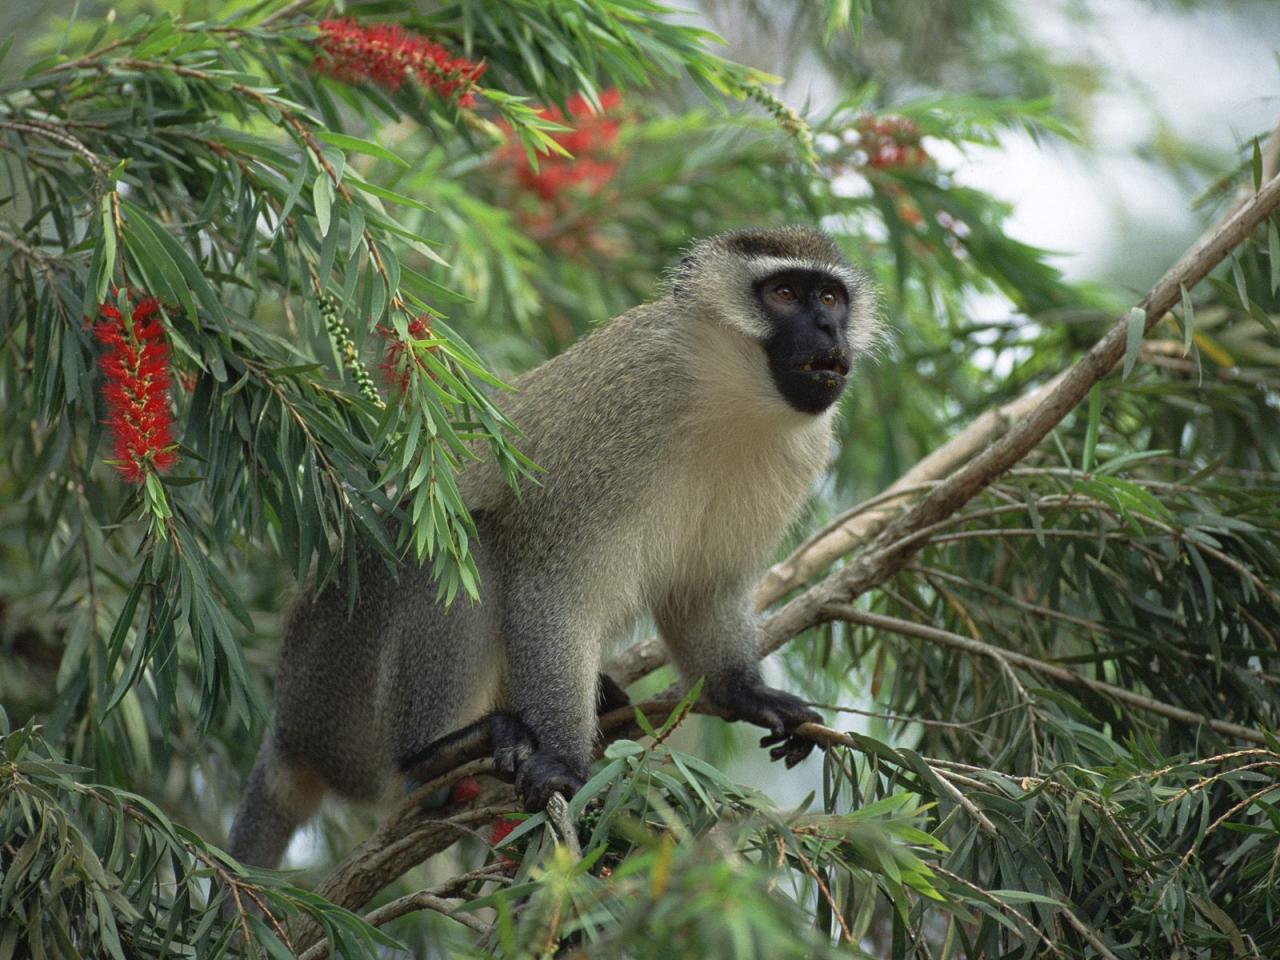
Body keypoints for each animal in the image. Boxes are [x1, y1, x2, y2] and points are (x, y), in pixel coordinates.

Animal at [225, 225, 875, 870]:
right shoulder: (623, 413)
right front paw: (563, 759)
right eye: (785, 293)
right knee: (464, 547)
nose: (828, 328)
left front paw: (745, 690)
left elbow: (701, 592)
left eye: (830, 298)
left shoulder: (799, 453)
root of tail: (288, 729)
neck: (729, 396)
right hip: (341, 697)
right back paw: (434, 758)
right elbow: (556, 593)